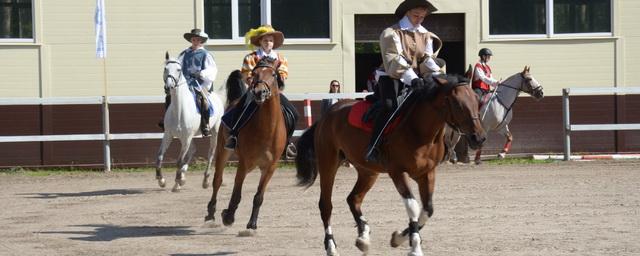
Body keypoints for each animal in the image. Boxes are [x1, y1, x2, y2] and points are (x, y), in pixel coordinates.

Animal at [155, 52, 225, 192]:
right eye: (165, 69)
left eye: (178, 69)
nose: (169, 86)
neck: (179, 109)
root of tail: (217, 97)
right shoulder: (168, 135)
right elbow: (159, 157)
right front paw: (162, 180)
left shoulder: (186, 138)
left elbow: (179, 160)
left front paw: (177, 181)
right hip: (188, 137)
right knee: (193, 150)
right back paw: (182, 177)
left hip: (214, 132)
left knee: (211, 153)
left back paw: (205, 180)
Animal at [204, 57, 286, 236]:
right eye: (255, 74)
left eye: (274, 74)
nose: (259, 92)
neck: (267, 129)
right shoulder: (244, 163)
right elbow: (236, 194)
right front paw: (228, 216)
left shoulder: (270, 168)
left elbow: (258, 197)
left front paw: (252, 224)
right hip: (222, 151)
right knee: (217, 181)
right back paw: (211, 213)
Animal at [296, 75, 484, 256]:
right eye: (458, 104)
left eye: (477, 100)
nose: (479, 138)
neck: (419, 130)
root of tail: (328, 115)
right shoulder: (397, 172)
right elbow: (413, 207)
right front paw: (415, 247)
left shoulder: (427, 173)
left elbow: (427, 210)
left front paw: (400, 238)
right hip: (328, 164)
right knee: (326, 205)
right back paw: (331, 247)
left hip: (368, 172)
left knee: (353, 198)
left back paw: (364, 237)